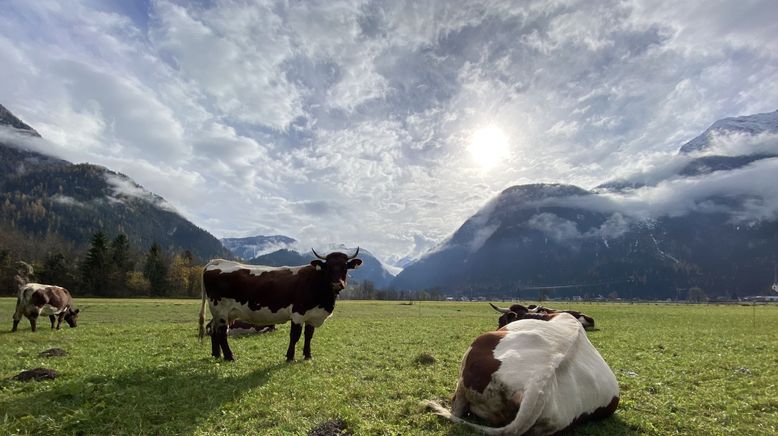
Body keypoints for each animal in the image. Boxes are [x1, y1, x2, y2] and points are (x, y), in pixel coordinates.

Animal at [197, 247, 360, 362]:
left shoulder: (312, 315)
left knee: (214, 329)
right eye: (328, 267)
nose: (337, 284)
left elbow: (309, 336)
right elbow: (295, 336)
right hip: (220, 309)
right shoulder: (298, 313)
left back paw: (217, 355)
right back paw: (230, 357)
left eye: (345, 267)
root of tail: (217, 262)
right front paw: (290, 357)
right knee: (221, 332)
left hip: (226, 313)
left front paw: (308, 356)